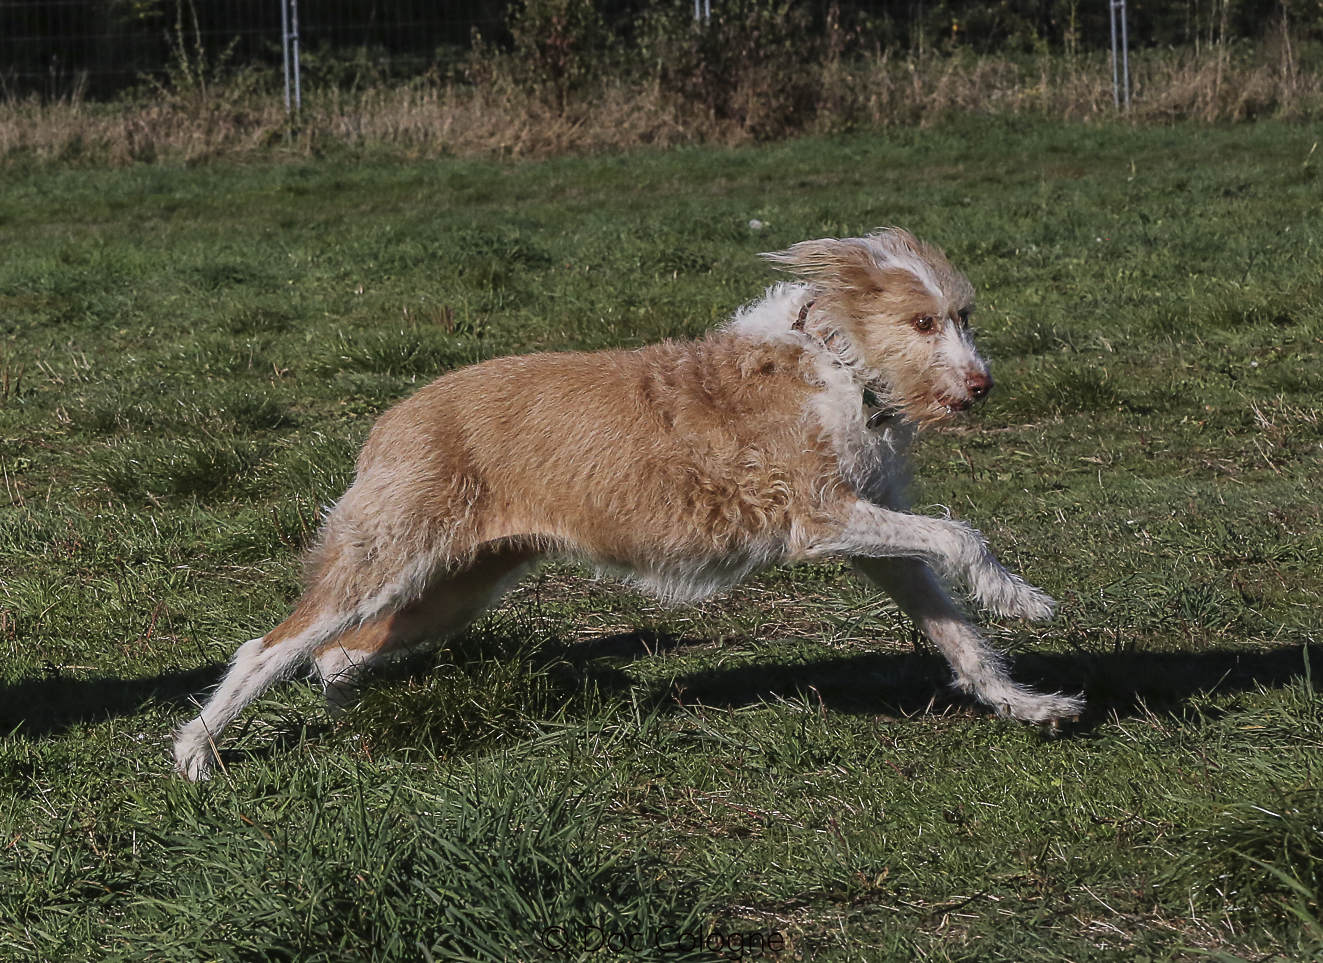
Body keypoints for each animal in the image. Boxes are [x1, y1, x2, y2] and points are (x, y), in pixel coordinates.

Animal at [173, 228, 1084, 777]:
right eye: (923, 321)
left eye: (964, 316)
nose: (982, 385)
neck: (835, 362)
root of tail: (394, 415)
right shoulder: (819, 519)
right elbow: (960, 534)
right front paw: (1022, 597)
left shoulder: (878, 541)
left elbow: (957, 632)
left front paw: (1024, 700)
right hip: (386, 560)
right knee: (266, 647)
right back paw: (196, 753)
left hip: (453, 586)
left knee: (336, 655)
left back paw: (348, 717)